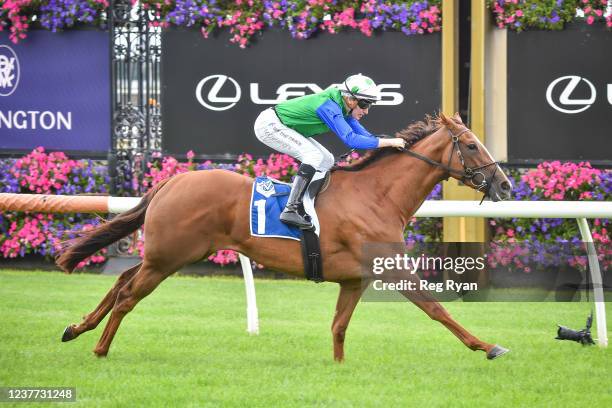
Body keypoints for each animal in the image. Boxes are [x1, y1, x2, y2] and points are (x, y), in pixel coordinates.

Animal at [58, 112, 512, 360]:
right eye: (472, 145)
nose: (505, 186)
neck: (376, 195)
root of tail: (171, 181)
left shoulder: (354, 279)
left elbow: (338, 327)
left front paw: (338, 369)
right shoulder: (393, 269)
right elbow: (437, 308)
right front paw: (488, 346)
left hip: (163, 255)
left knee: (120, 279)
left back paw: (76, 329)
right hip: (168, 257)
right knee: (127, 295)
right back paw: (99, 348)